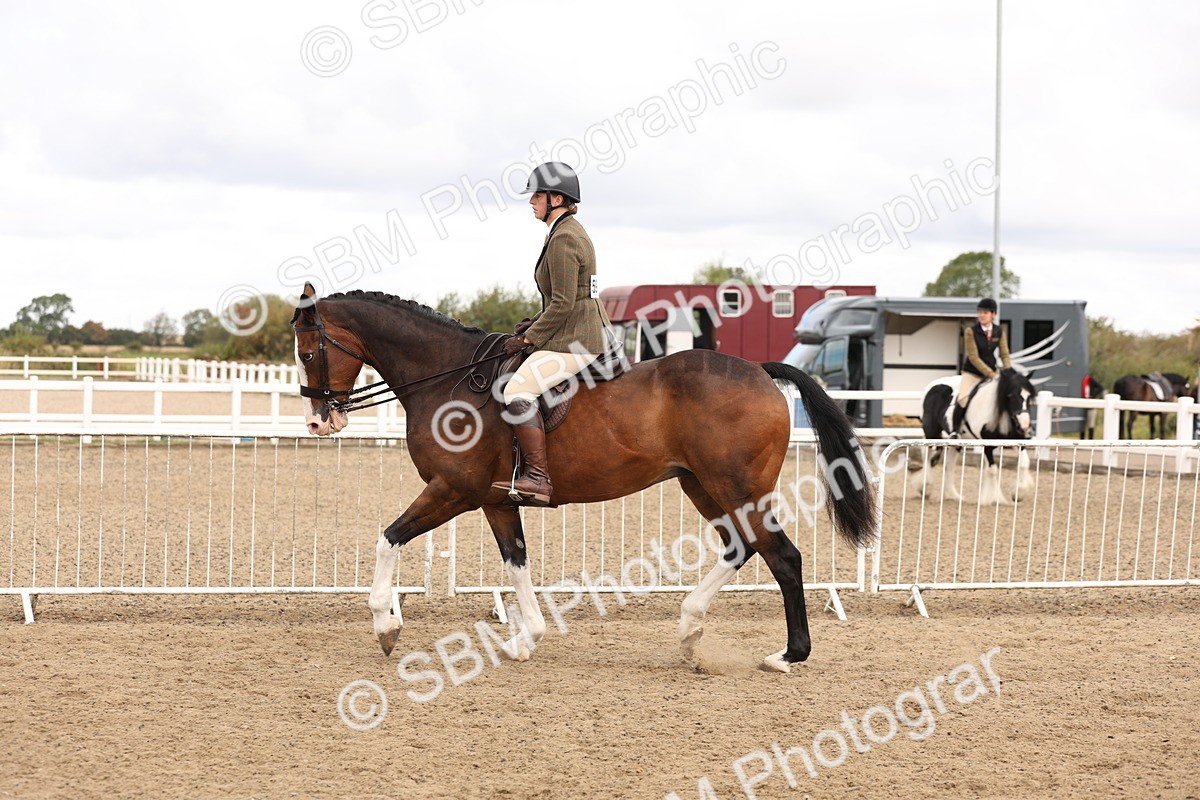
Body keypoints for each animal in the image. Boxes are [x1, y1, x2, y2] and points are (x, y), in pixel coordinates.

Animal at [290, 284, 876, 674]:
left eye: (309, 351)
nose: (319, 422)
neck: (447, 378)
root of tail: (758, 370)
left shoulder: (452, 490)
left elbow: (388, 537)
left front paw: (386, 626)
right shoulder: (495, 501)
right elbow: (517, 564)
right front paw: (526, 639)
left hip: (735, 486)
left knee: (783, 556)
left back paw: (787, 655)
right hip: (702, 485)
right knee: (742, 547)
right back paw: (690, 630)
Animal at [907, 368, 1036, 505]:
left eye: (1029, 397)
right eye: (1011, 395)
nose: (1025, 425)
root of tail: (932, 385)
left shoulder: (1016, 440)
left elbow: (1024, 462)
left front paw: (1019, 492)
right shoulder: (987, 445)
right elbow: (993, 470)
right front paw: (996, 498)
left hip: (955, 443)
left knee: (949, 465)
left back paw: (955, 496)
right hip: (931, 432)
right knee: (927, 454)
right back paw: (925, 487)